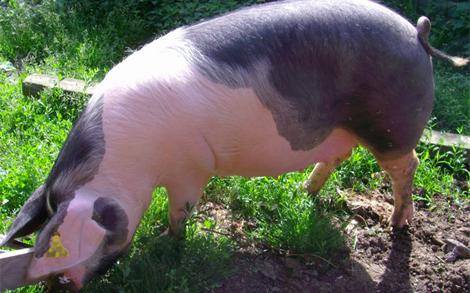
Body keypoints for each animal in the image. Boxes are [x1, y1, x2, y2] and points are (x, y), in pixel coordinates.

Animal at [1, 0, 468, 288]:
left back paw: (398, 224)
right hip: (345, 128)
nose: (59, 285)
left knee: (406, 166)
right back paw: (305, 192)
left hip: (392, 124)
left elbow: (181, 211)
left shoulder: (191, 169)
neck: (129, 161)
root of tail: (415, 33)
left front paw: (166, 242)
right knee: (340, 154)